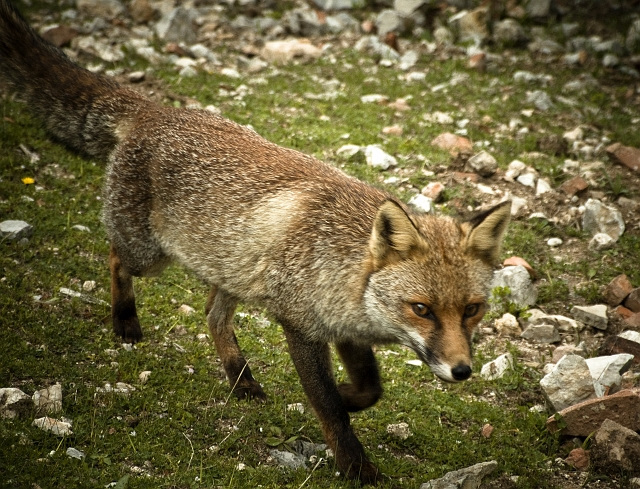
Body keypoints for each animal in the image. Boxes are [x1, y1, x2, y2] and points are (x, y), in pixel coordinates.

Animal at [0, 1, 510, 484]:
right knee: (116, 260)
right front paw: (354, 464)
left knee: (211, 314)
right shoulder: (301, 325)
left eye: (472, 310)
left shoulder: (344, 330)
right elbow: (330, 408)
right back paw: (125, 321)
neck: (344, 270)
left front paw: (348, 396)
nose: (462, 371)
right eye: (421, 309)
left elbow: (369, 388)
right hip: (150, 254)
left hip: (232, 271)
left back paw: (240, 378)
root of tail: (156, 110)